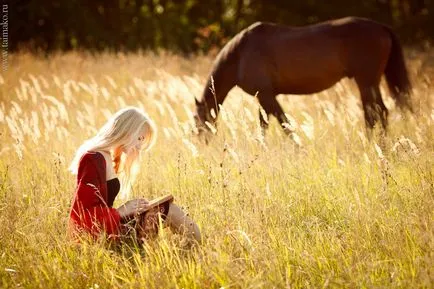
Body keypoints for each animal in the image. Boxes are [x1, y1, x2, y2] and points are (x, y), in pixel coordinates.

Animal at [195, 16, 412, 135]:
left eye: (197, 118)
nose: (201, 139)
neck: (240, 54)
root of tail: (382, 27)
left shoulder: (266, 96)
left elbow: (284, 124)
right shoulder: (264, 98)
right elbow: (264, 126)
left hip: (366, 82)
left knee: (375, 114)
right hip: (370, 83)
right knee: (379, 113)